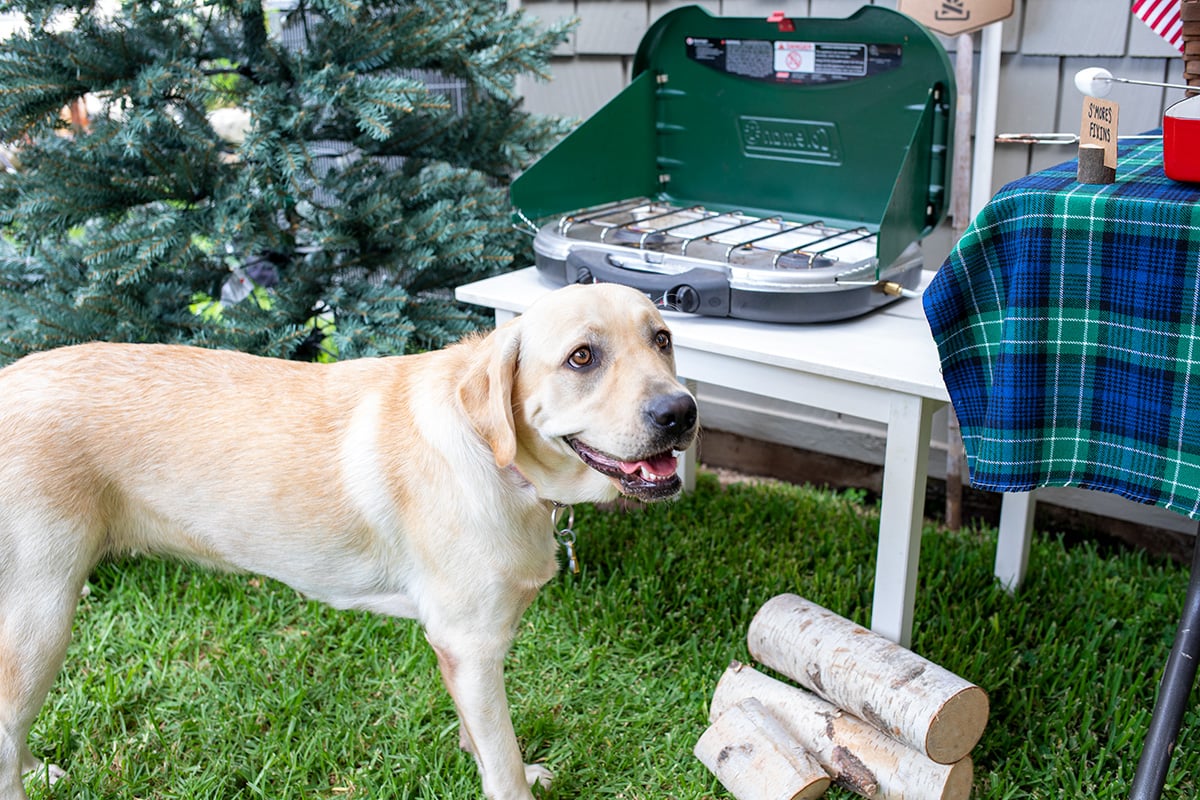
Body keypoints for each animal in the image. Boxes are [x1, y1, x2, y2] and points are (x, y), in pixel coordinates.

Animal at [0, 283, 700, 800]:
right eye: (582, 357)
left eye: (662, 339)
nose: (681, 413)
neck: (497, 459)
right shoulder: (472, 642)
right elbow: (499, 758)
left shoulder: (462, 650)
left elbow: (485, 740)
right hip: (41, 616)